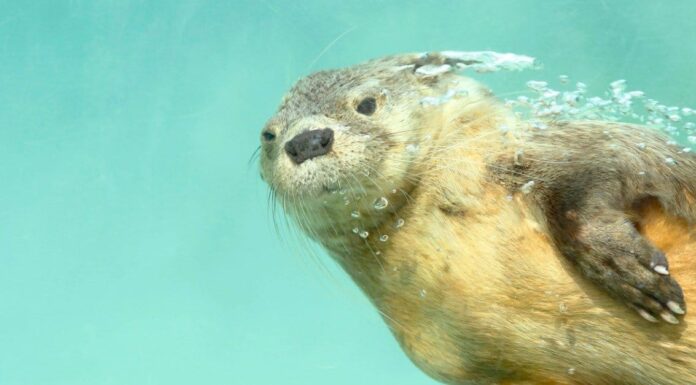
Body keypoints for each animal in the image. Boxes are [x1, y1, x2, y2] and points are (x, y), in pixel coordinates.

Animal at [256, 51, 696, 384]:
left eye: (366, 104)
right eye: (268, 136)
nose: (307, 140)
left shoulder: (575, 146)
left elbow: (610, 165)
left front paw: (627, 268)